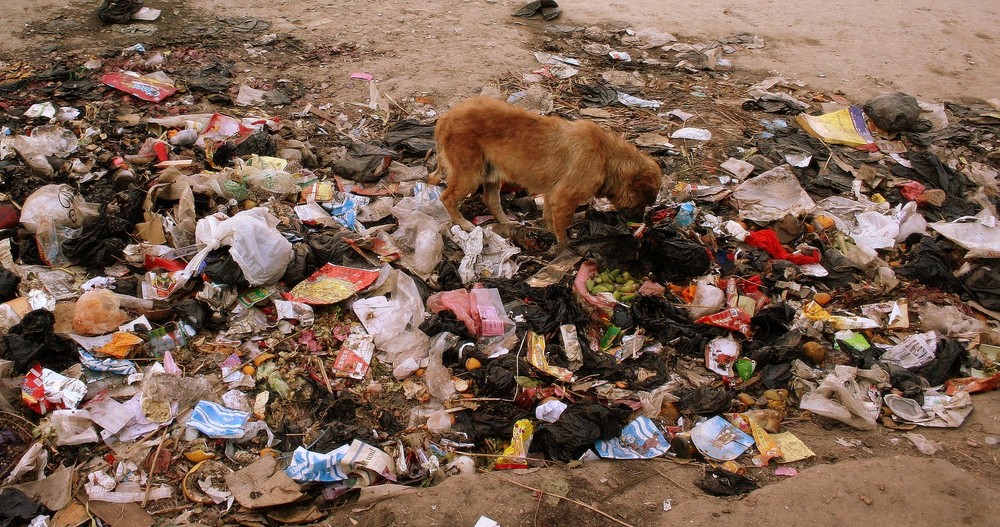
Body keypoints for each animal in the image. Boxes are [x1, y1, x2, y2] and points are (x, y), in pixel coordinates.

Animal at [430, 97, 664, 248]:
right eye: (642, 203)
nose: (638, 223)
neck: (607, 158)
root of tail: (445, 118)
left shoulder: (553, 195)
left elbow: (550, 218)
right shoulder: (565, 199)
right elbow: (562, 229)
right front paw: (564, 251)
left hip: (492, 172)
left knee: (490, 200)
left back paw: (507, 223)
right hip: (471, 174)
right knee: (447, 197)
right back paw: (463, 223)